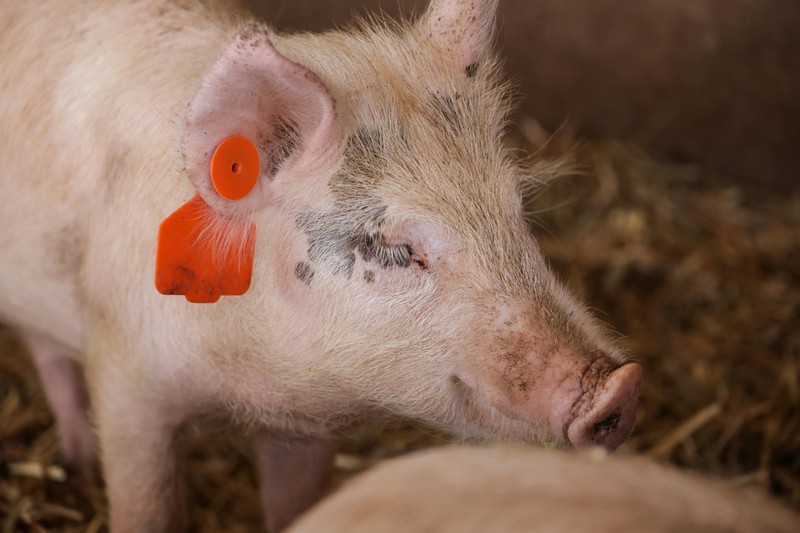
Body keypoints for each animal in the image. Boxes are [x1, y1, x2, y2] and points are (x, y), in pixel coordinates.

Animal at [0, 0, 642, 531]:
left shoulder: (304, 427)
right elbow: (147, 505)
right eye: (395, 249)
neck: (241, 381)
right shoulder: (126, 374)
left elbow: (295, 505)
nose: (620, 386)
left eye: (518, 212)